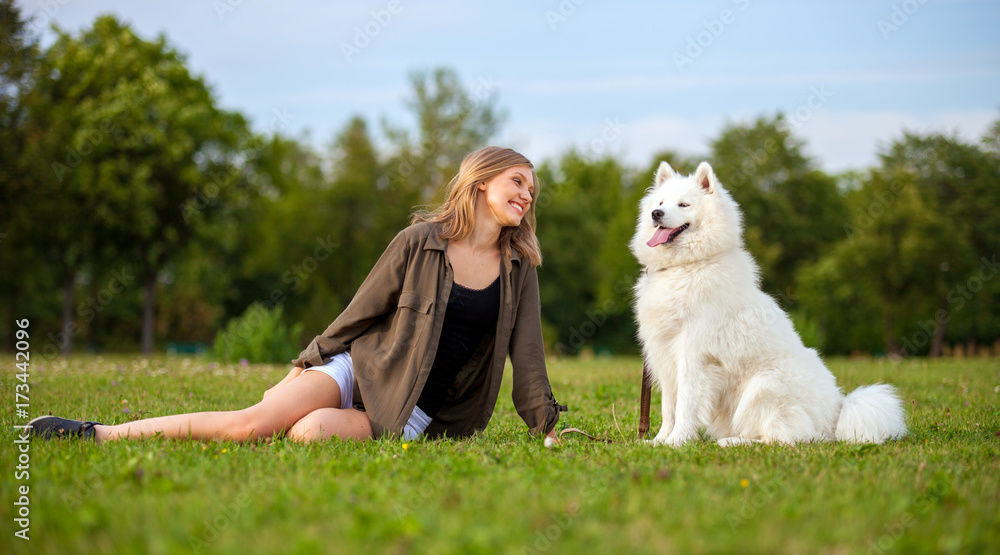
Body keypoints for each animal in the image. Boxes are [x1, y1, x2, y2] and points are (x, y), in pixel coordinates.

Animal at [632, 161, 908, 448]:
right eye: (661, 202)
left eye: (684, 204)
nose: (656, 213)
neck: (684, 267)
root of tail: (837, 414)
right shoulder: (663, 355)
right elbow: (669, 406)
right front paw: (658, 441)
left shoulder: (694, 356)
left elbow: (685, 404)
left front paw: (678, 441)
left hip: (764, 383)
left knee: (782, 438)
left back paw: (733, 442)